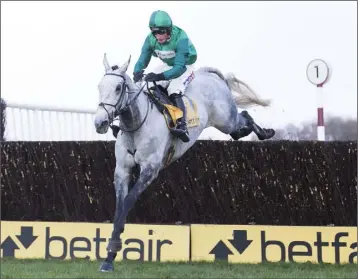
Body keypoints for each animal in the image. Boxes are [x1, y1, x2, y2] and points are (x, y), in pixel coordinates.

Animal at [93, 53, 276, 272]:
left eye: (118, 88)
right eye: (99, 87)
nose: (100, 123)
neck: (137, 125)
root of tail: (207, 73)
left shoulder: (150, 169)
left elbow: (128, 203)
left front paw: (113, 251)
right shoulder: (122, 170)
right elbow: (119, 208)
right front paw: (109, 257)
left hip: (226, 120)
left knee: (244, 118)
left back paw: (266, 133)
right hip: (227, 124)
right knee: (240, 129)